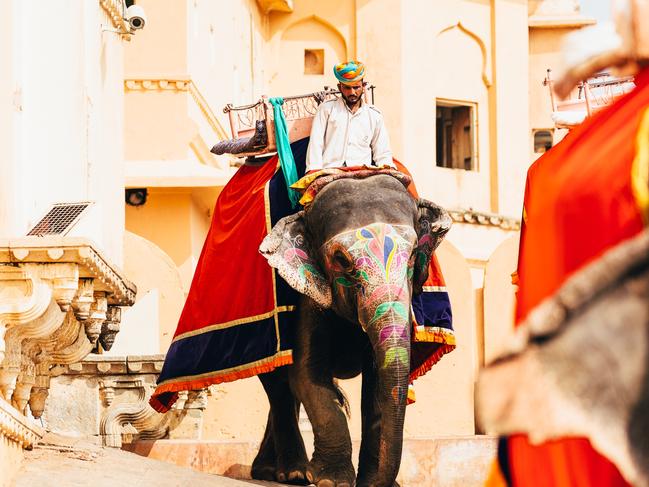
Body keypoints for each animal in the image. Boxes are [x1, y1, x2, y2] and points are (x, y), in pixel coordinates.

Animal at [254, 173, 450, 487]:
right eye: (341, 259)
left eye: (412, 256)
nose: (387, 481)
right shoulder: (308, 295)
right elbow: (307, 374)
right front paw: (331, 481)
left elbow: (378, 384)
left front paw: (371, 483)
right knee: (278, 384)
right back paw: (292, 474)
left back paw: (271, 472)